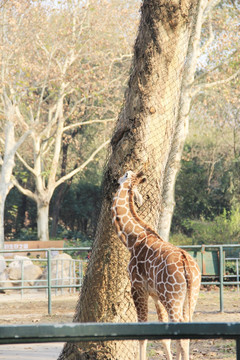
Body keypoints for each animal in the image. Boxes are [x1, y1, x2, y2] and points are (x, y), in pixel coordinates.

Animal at [111, 171, 202, 360]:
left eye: (125, 175)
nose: (116, 179)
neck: (133, 239)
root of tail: (187, 267)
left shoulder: (138, 288)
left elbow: (143, 331)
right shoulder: (155, 294)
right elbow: (164, 335)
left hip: (172, 298)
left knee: (181, 329)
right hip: (191, 295)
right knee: (186, 327)